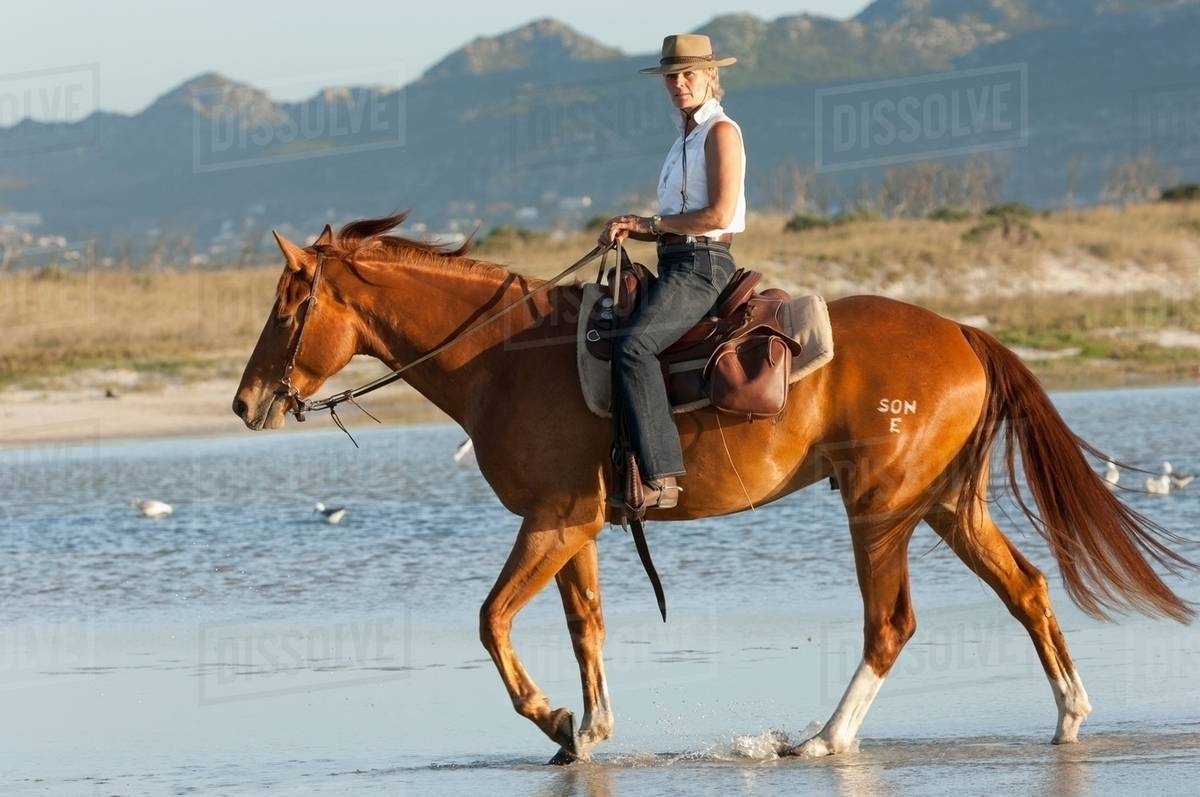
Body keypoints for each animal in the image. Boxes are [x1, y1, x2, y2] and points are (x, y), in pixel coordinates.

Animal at [233, 213, 1195, 763]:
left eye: (287, 307)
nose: (245, 402)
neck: (504, 357)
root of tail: (962, 331)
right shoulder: (575, 524)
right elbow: (585, 626)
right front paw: (588, 729)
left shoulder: (554, 519)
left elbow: (492, 618)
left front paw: (551, 717)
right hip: (948, 507)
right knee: (1026, 588)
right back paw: (1069, 716)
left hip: (881, 509)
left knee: (891, 623)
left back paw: (824, 739)